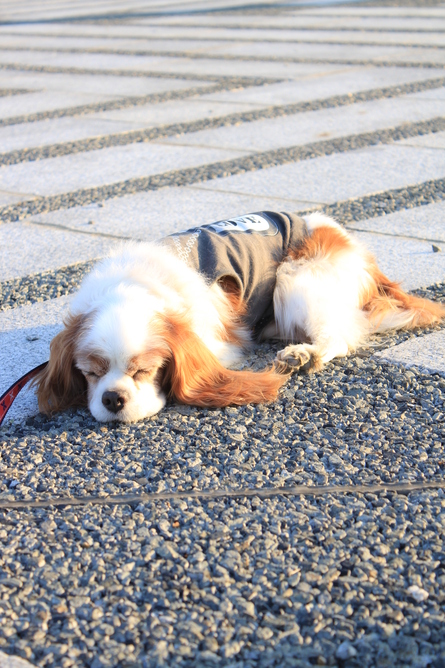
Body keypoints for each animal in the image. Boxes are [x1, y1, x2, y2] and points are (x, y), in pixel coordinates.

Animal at [34, 213, 444, 422]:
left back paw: (303, 354)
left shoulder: (219, 345)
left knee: (338, 337)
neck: (132, 284)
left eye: (144, 371)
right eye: (91, 373)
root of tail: (357, 251)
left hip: (295, 279)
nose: (113, 399)